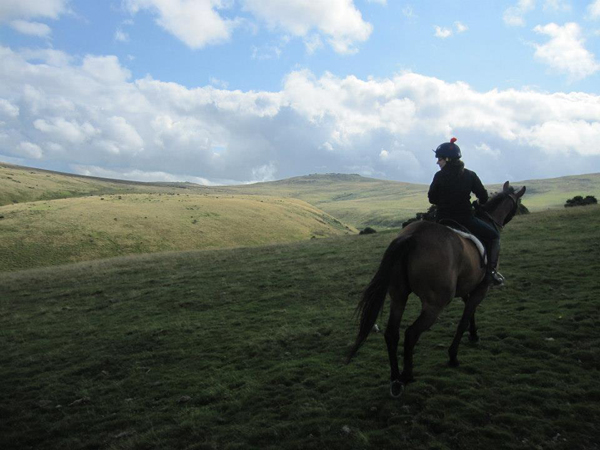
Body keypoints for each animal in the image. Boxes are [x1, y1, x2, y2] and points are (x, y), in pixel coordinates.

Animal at [346, 180, 524, 398]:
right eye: (518, 202)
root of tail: (412, 236)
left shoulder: (467, 287)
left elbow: (470, 313)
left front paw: (474, 335)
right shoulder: (481, 288)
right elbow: (464, 320)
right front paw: (454, 355)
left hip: (398, 296)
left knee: (392, 334)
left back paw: (395, 379)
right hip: (435, 304)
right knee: (411, 333)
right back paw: (407, 376)